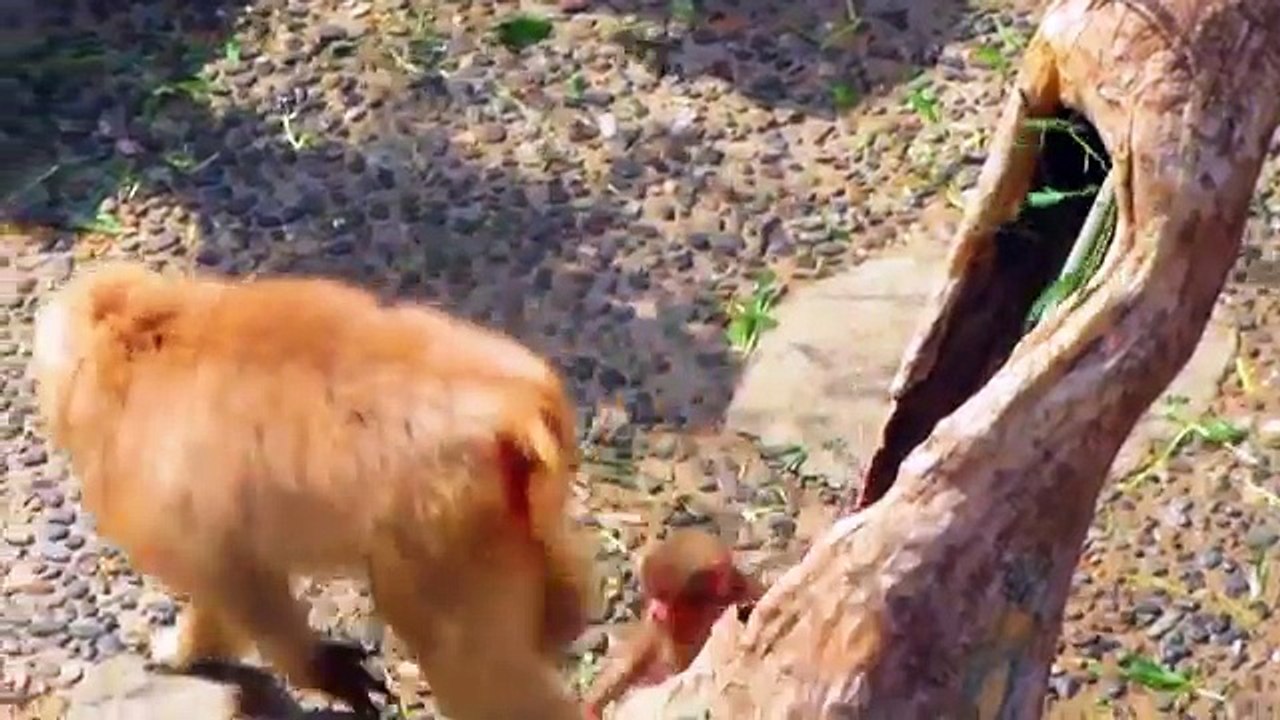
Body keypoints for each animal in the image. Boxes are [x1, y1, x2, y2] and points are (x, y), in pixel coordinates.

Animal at [29, 261, 598, 720]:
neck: (135, 338)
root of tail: (514, 403)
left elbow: (234, 582)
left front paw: (301, 667)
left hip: (443, 526)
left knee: (453, 647)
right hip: (513, 514)